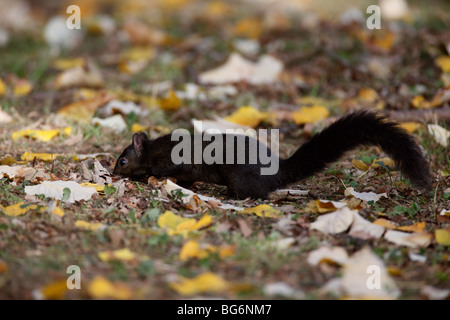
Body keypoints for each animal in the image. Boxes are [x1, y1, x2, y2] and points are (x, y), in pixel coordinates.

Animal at [113, 111, 432, 199]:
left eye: (123, 160)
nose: (114, 172)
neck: (151, 150)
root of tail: (278, 171)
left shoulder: (173, 161)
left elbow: (173, 172)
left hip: (239, 177)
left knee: (257, 193)